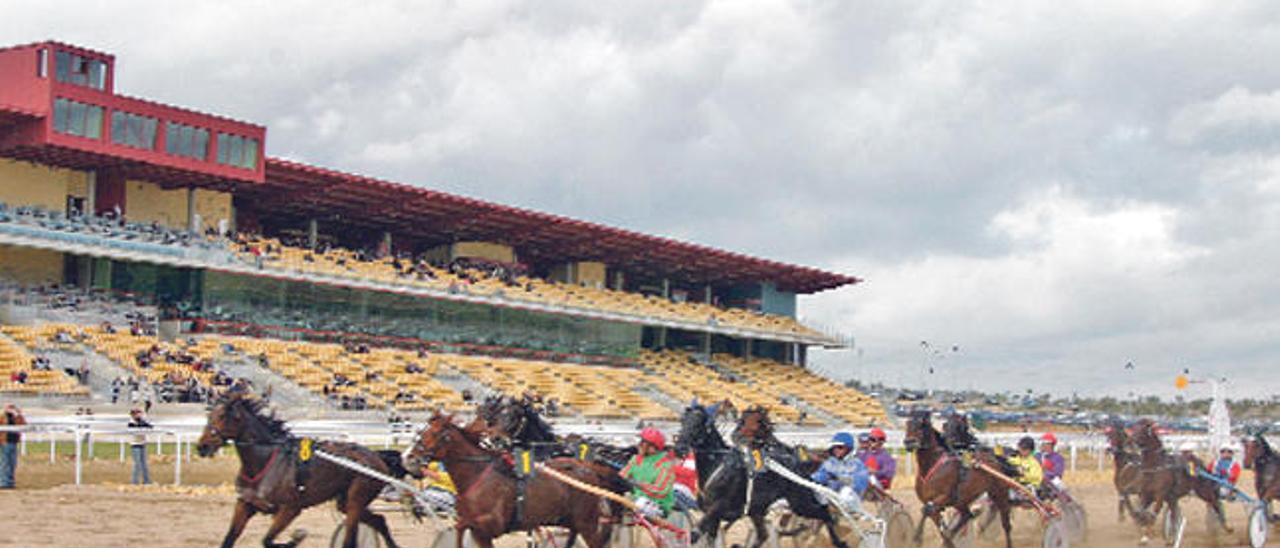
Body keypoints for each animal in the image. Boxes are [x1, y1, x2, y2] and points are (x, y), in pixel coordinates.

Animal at [404, 409, 614, 548]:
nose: (409, 458)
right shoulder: (479, 532)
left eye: (435, 434)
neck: (477, 475)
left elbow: (462, 525)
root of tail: (591, 470)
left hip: (586, 522)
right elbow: (460, 526)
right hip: (570, 521)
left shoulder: (491, 525)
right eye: (422, 432)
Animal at [896, 409, 1013, 548]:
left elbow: (927, 511)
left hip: (999, 493)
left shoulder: (945, 496)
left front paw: (917, 537)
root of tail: (994, 459)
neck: (931, 466)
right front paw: (944, 540)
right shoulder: (931, 501)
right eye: (907, 423)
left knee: (1005, 523)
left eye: (922, 424)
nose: (909, 442)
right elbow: (935, 519)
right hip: (961, 501)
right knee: (967, 515)